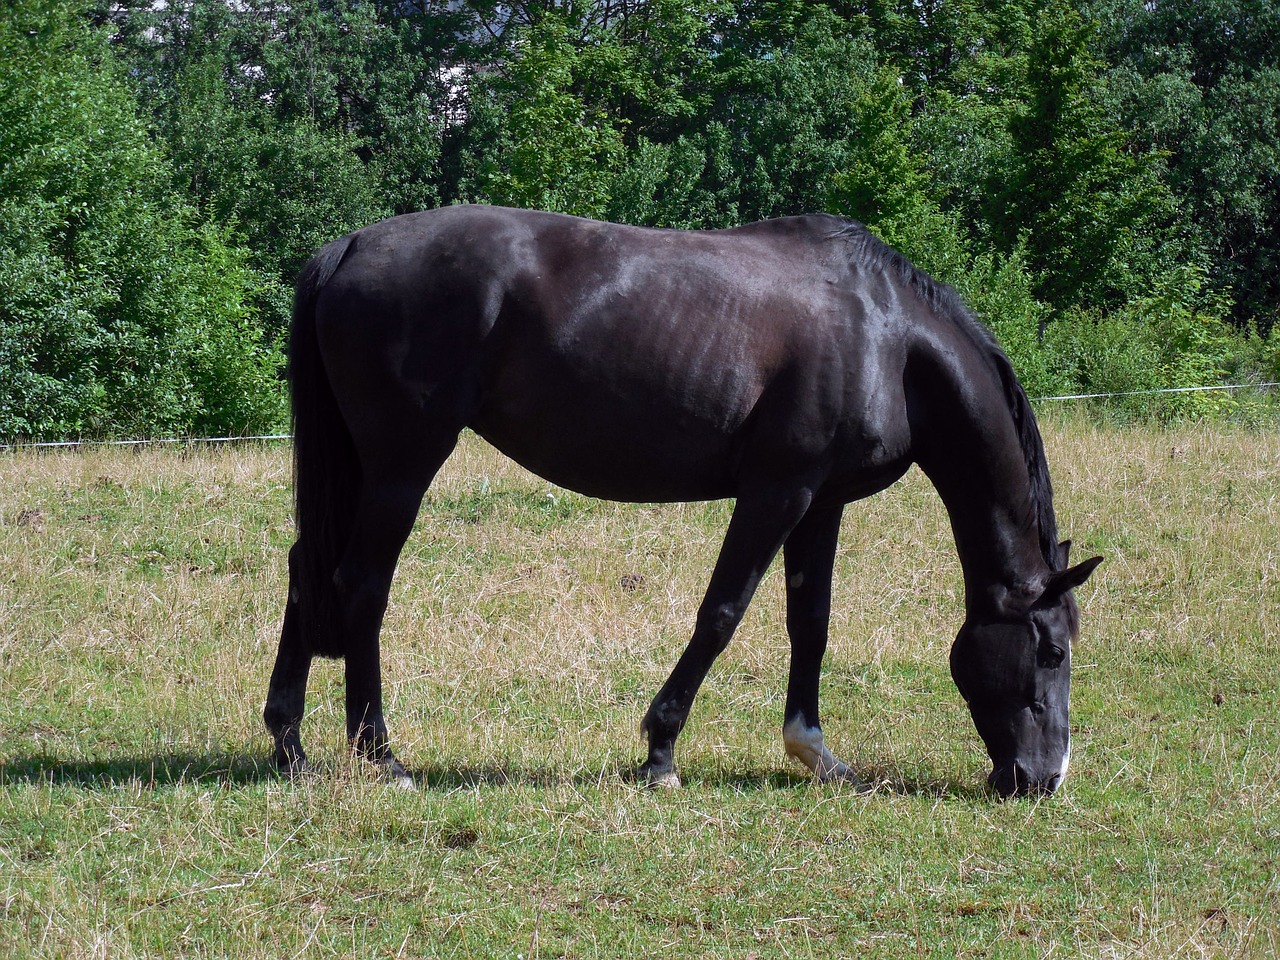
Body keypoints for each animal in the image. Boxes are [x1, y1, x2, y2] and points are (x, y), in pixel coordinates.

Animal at [262, 207, 1100, 798]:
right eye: (1051, 651)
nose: (1044, 778)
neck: (885, 341)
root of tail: (354, 244)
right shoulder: (777, 491)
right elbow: (721, 614)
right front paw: (661, 751)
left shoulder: (821, 503)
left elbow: (811, 622)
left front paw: (815, 752)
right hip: (402, 468)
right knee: (361, 586)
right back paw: (381, 754)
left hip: (362, 470)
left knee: (308, 571)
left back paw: (291, 744)